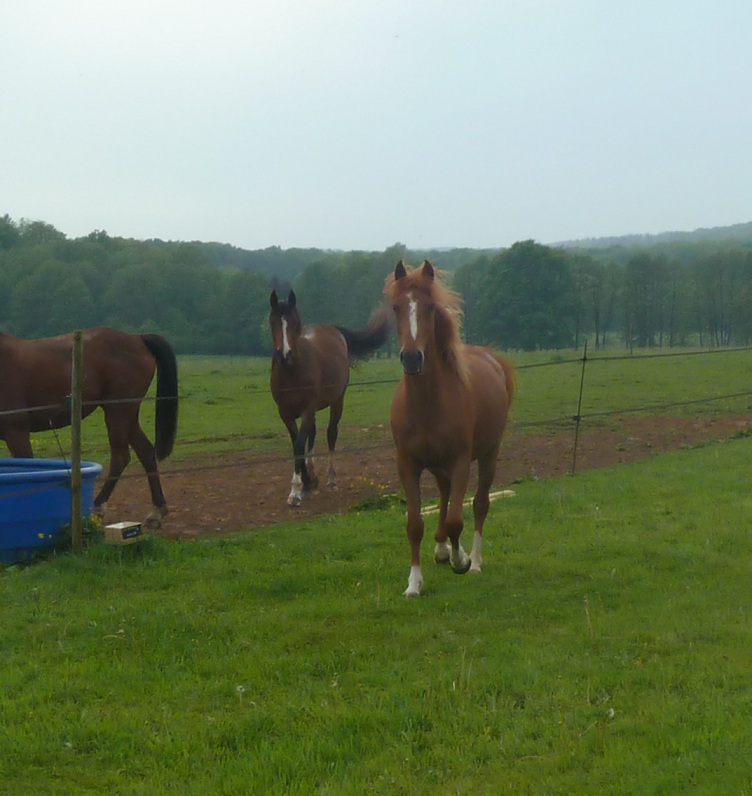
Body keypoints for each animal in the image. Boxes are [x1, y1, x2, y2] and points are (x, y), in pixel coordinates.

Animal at [0, 326, 178, 532]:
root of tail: (137, 338)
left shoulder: (16, 433)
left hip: (117, 411)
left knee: (120, 457)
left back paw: (99, 507)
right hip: (127, 416)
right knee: (146, 452)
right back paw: (156, 511)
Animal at [268, 290, 388, 506]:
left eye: (295, 323)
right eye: (272, 322)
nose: (285, 355)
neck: (292, 373)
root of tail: (332, 329)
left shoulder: (307, 410)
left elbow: (299, 445)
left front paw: (296, 490)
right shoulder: (286, 414)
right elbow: (297, 444)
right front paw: (306, 484)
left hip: (337, 401)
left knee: (331, 434)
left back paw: (331, 479)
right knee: (313, 434)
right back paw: (313, 477)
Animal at [384, 262, 516, 596]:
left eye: (430, 307)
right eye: (396, 307)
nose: (411, 358)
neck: (427, 403)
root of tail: (492, 359)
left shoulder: (459, 462)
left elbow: (457, 519)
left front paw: (462, 560)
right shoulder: (408, 464)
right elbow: (415, 524)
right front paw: (414, 583)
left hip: (489, 454)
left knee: (480, 504)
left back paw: (474, 560)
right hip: (437, 464)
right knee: (444, 493)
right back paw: (442, 549)